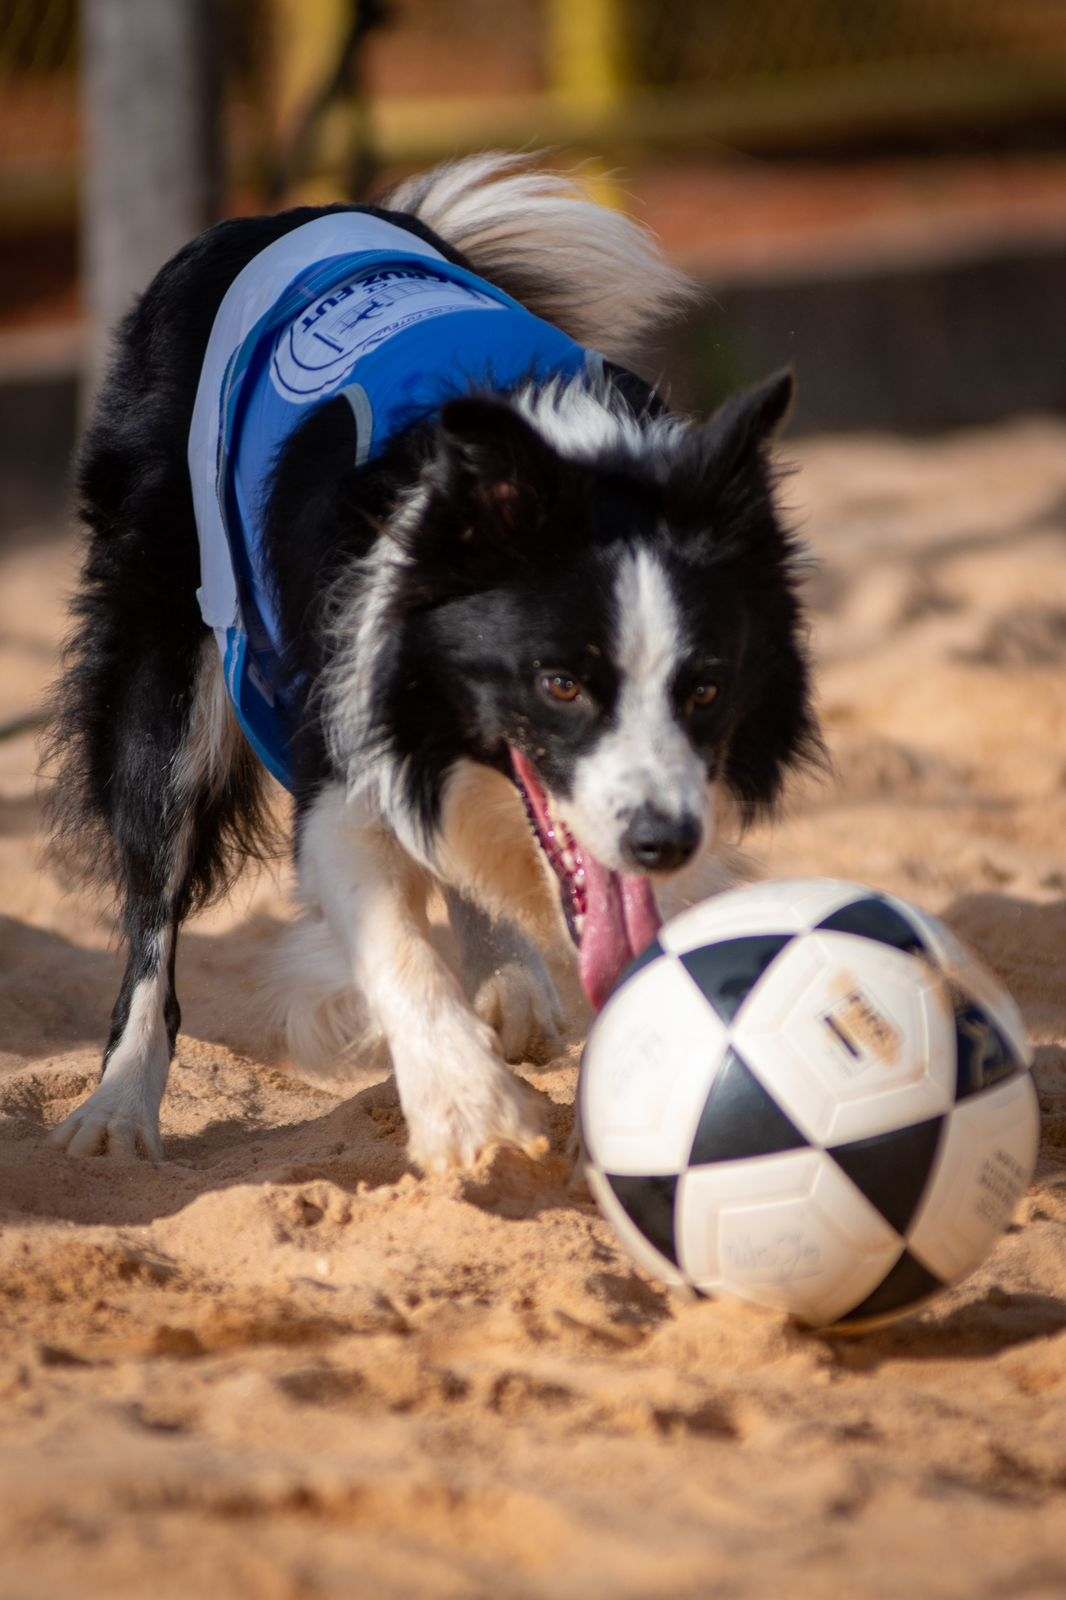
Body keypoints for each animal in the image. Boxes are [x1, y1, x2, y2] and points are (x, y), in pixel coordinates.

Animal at [43, 156, 813, 1171]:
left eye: (706, 687)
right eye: (560, 683)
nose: (661, 841)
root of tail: (292, 215)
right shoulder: (342, 732)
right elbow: (390, 937)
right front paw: (469, 1114)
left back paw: (510, 990)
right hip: (166, 652)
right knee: (153, 893)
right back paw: (116, 1112)